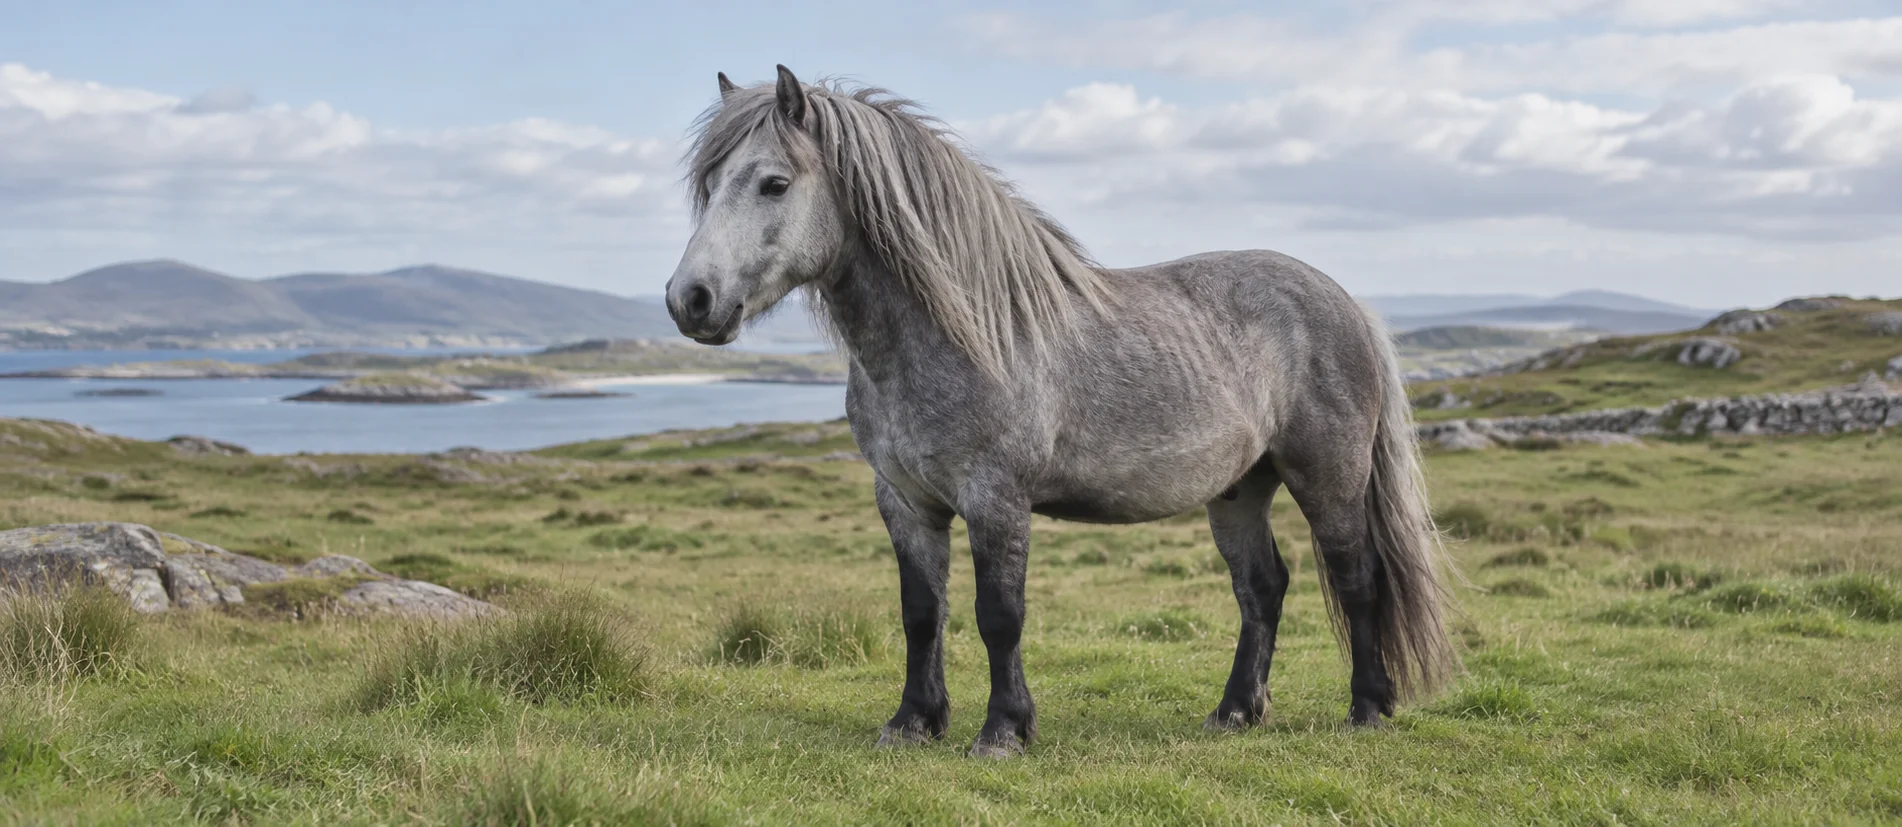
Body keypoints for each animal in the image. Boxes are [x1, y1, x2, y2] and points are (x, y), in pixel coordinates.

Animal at [663, 66, 1460, 757]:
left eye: (774, 183)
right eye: (709, 185)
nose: (689, 300)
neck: (965, 333)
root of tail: (1345, 301)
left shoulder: (996, 499)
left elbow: (998, 616)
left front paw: (1003, 732)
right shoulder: (905, 501)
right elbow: (922, 613)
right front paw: (913, 722)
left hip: (1328, 478)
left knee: (1358, 579)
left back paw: (1367, 707)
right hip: (1239, 489)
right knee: (1261, 588)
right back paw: (1235, 710)